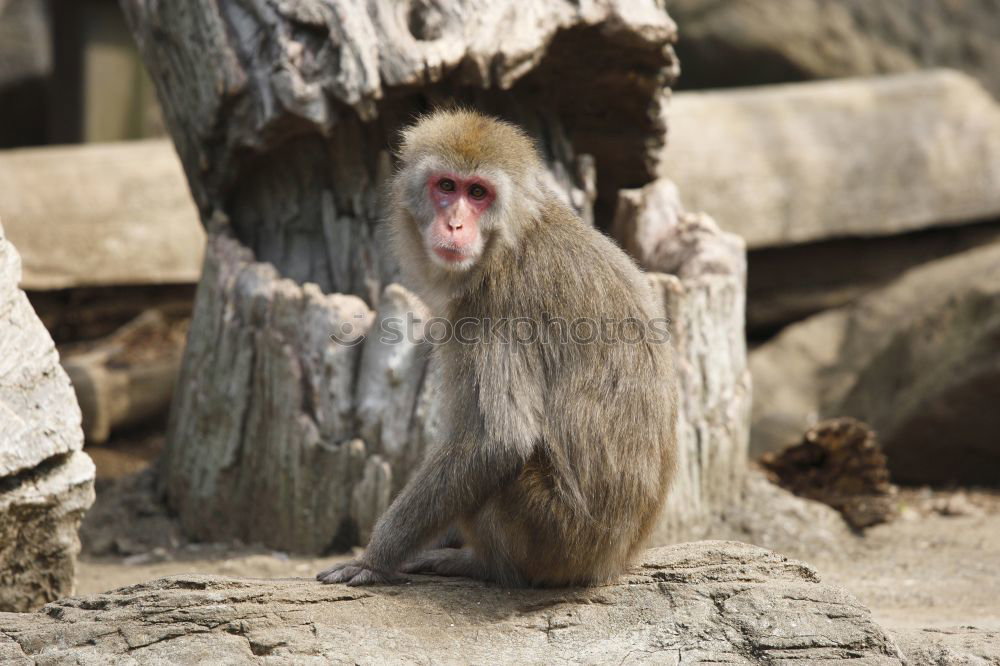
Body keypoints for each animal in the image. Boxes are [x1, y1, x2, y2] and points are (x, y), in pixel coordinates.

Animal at [317, 109, 678, 587]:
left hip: (548, 532)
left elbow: (499, 443)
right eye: (446, 186)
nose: (455, 225)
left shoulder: (496, 308)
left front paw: (374, 559)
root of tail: (610, 562)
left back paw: (480, 563)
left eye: (478, 193)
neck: (512, 237)